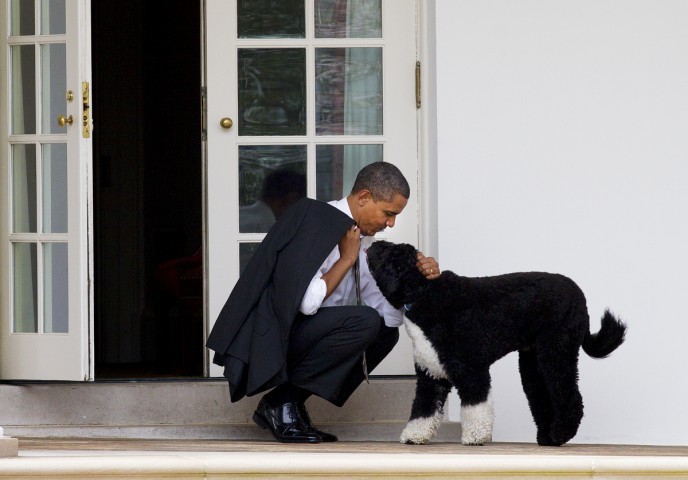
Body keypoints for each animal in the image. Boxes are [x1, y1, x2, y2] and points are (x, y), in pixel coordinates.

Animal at [368, 242, 628, 448]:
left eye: (386, 251)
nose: (372, 243)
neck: (425, 294)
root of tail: (580, 296)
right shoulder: (430, 374)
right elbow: (423, 408)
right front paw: (414, 436)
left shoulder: (471, 369)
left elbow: (476, 405)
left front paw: (475, 436)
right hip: (533, 361)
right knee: (542, 397)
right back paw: (547, 438)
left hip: (556, 351)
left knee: (569, 396)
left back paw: (560, 433)